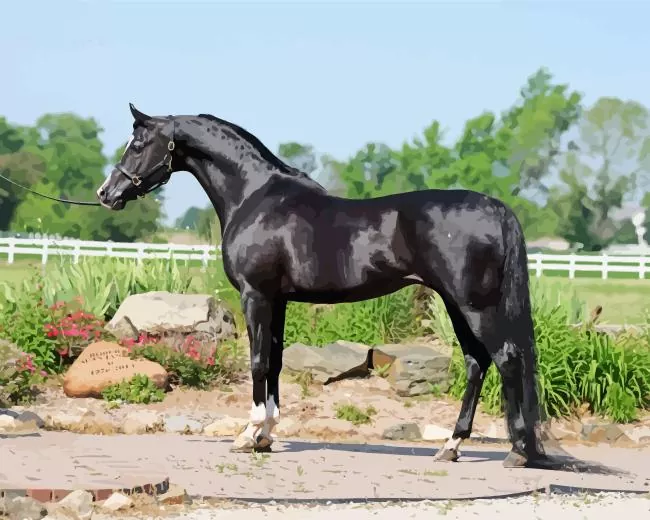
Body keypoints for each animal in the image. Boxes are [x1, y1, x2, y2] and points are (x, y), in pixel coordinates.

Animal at [96, 103, 550, 469]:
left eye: (137, 144)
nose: (106, 193)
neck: (255, 196)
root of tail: (496, 208)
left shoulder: (255, 295)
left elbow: (257, 362)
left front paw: (248, 435)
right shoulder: (278, 300)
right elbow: (274, 362)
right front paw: (267, 436)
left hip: (473, 304)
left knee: (506, 358)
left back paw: (517, 453)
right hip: (457, 305)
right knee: (477, 362)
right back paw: (451, 446)